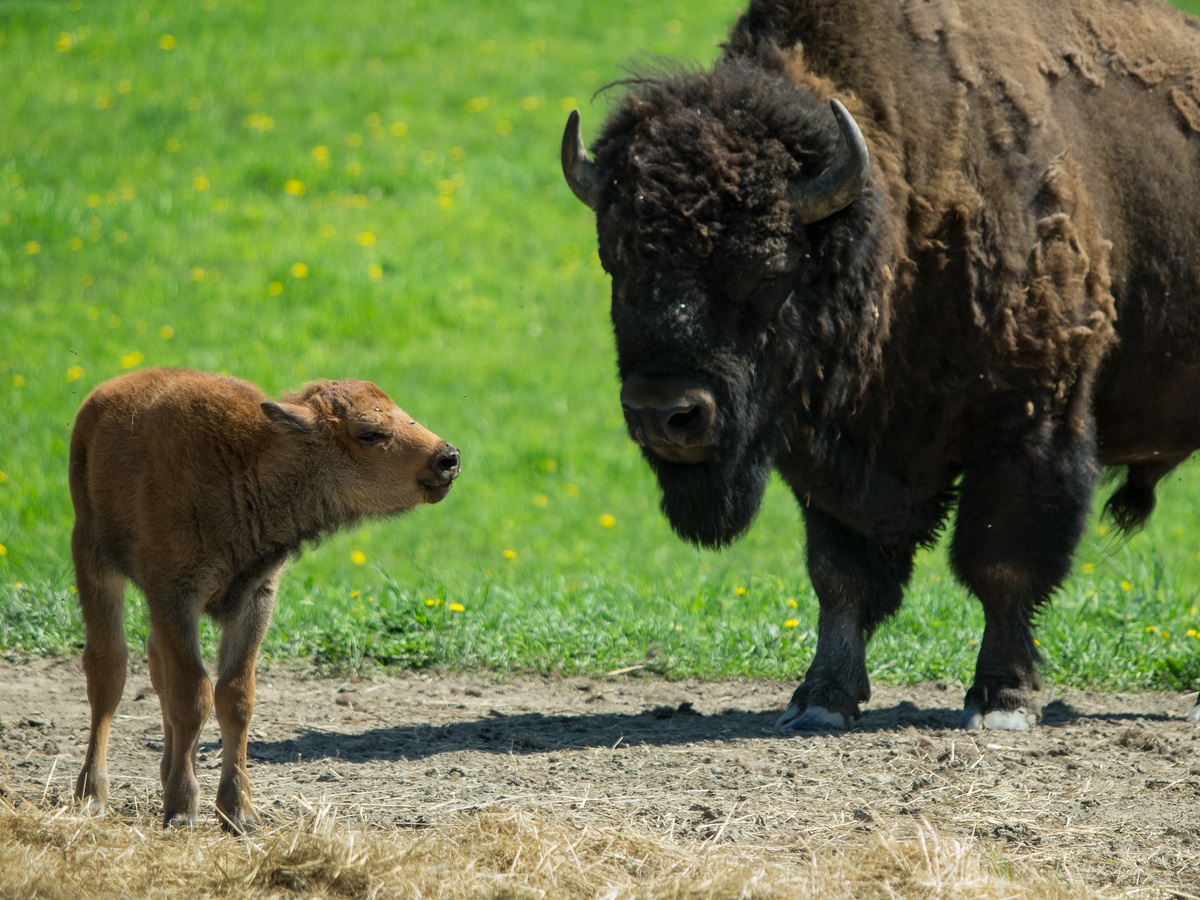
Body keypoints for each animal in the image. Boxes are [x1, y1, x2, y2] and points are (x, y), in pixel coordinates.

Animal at [71, 369, 458, 835]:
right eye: (370, 433)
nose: (448, 458)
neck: (247, 463)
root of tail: (103, 396)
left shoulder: (255, 600)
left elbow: (236, 698)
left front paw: (239, 812)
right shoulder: (174, 595)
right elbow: (192, 695)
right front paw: (183, 809)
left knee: (154, 663)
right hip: (93, 555)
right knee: (108, 670)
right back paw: (91, 795)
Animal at [561, 0, 1200, 734]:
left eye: (767, 267)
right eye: (615, 259)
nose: (664, 413)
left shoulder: (1033, 418)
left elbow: (1002, 563)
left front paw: (1003, 701)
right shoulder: (832, 456)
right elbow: (842, 575)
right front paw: (821, 698)